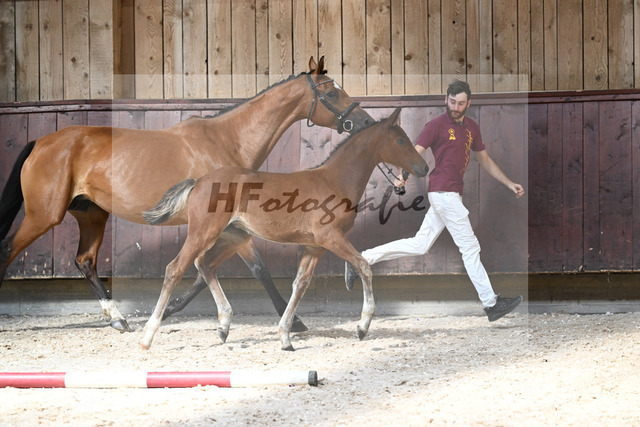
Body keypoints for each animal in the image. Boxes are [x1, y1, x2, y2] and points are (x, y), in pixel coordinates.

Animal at [0, 57, 373, 333]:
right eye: (332, 93)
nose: (365, 122)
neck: (228, 140)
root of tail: (42, 142)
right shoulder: (231, 224)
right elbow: (255, 268)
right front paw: (294, 322)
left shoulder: (228, 227)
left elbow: (201, 270)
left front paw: (173, 309)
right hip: (44, 216)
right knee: (8, 248)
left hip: (91, 214)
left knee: (85, 262)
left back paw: (119, 320)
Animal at [140, 107, 429, 351]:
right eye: (400, 140)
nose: (423, 167)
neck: (334, 179)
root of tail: (198, 182)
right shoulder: (330, 237)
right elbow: (363, 266)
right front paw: (362, 326)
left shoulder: (314, 246)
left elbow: (300, 284)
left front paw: (286, 337)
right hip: (204, 233)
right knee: (175, 269)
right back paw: (148, 335)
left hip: (234, 237)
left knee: (206, 265)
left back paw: (223, 326)